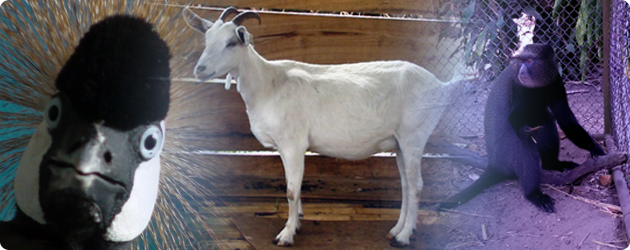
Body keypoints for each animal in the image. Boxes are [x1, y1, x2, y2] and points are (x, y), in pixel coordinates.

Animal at [183, 6, 460, 247]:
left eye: (231, 42)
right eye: (207, 38)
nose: (199, 70)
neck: (268, 84)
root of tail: (441, 86)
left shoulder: (293, 143)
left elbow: (291, 191)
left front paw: (285, 235)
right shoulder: (288, 147)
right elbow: (295, 186)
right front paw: (297, 222)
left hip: (415, 136)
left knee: (416, 186)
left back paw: (404, 237)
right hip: (400, 142)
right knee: (405, 184)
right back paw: (396, 230)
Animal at [442, 44, 608, 212]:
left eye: (528, 61)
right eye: (520, 62)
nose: (521, 71)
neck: (539, 84)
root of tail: (494, 164)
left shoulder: (555, 81)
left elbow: (564, 118)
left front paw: (594, 148)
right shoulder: (520, 88)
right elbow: (514, 118)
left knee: (546, 119)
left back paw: (552, 164)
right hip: (506, 156)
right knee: (524, 141)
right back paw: (533, 194)